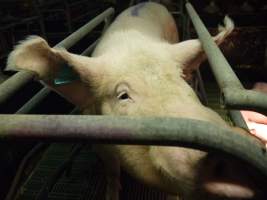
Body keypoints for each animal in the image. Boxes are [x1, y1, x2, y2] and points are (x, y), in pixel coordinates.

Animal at [6, 1, 267, 200]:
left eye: (179, 79)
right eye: (123, 95)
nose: (236, 147)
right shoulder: (99, 141)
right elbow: (112, 171)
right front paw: (111, 195)